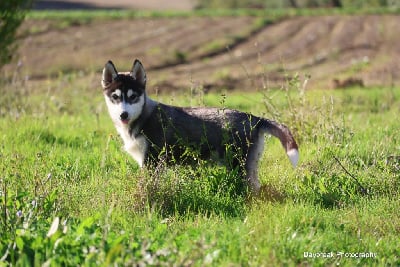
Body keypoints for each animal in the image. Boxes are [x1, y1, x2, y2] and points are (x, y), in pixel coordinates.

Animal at [101, 59, 298, 194]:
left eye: (133, 97)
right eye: (115, 97)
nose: (123, 115)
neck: (143, 117)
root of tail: (254, 118)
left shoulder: (152, 161)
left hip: (239, 164)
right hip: (249, 163)